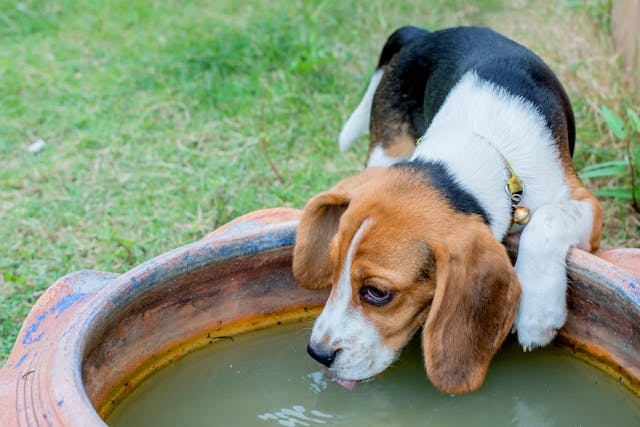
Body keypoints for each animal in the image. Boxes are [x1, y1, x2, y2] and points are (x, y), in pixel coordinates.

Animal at [292, 25, 604, 394]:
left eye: (377, 293)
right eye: (333, 266)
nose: (317, 353)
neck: (479, 147)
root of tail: (422, 34)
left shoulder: (586, 206)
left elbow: (546, 220)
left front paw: (538, 312)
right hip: (385, 151)